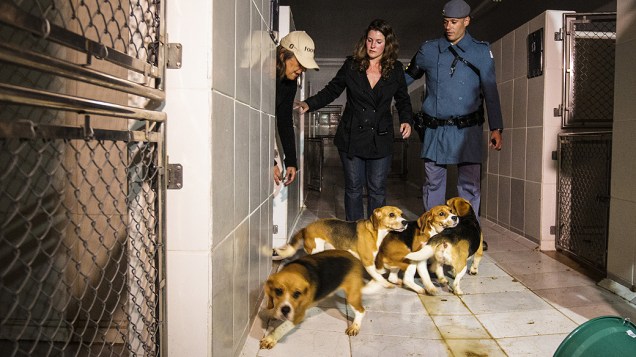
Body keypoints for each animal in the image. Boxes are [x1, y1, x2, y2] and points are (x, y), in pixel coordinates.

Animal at [274, 206, 408, 286]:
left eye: (401, 214)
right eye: (391, 215)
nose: (405, 222)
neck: (375, 231)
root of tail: (305, 228)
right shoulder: (367, 261)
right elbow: (377, 275)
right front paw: (386, 283)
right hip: (317, 250)